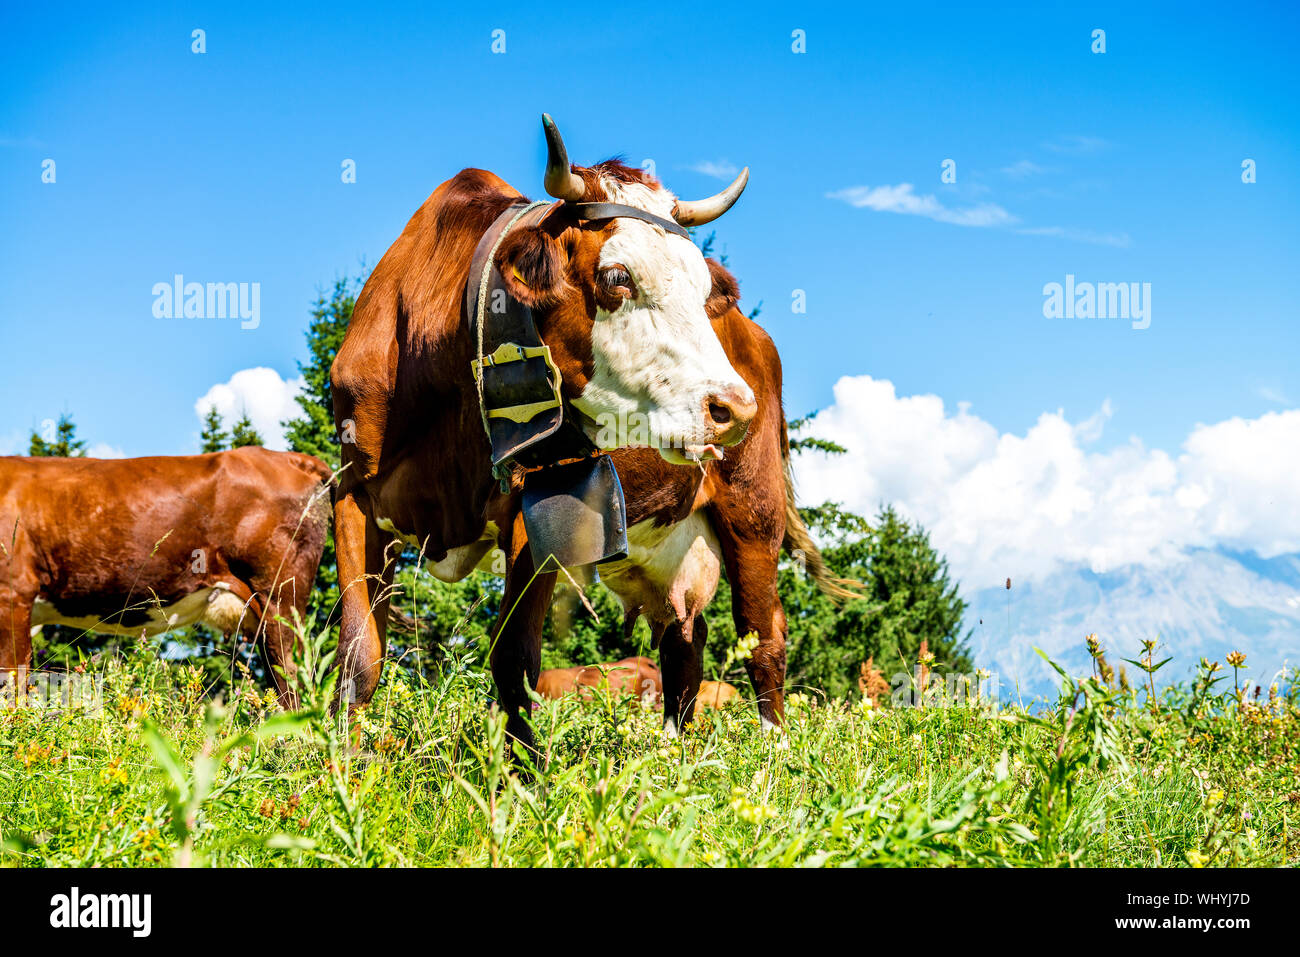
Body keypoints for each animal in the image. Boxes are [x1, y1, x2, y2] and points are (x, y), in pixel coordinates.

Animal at [332, 115, 759, 717]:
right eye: (618, 277)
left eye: (703, 291)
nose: (735, 407)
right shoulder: (352, 491)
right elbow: (358, 655)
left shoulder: (535, 502)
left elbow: (514, 659)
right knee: (683, 641)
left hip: (754, 517)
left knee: (765, 642)